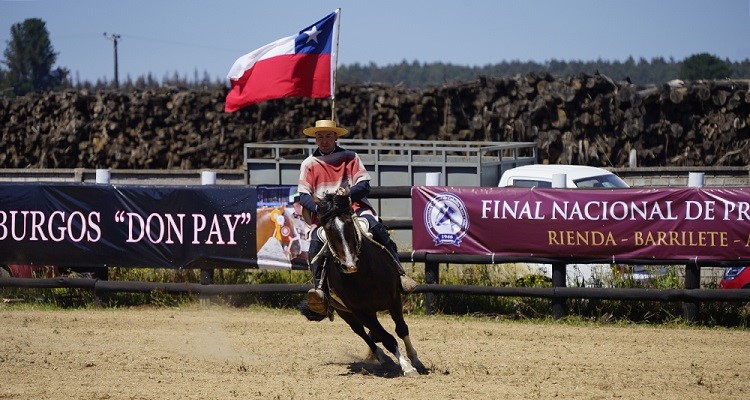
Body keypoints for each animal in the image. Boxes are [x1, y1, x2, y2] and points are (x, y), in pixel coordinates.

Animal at [302, 188, 428, 376]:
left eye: (349, 224)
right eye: (328, 229)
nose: (349, 265)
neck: (364, 276)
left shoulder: (394, 299)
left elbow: (401, 329)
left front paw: (415, 360)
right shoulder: (360, 311)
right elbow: (387, 338)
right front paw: (406, 367)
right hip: (346, 313)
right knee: (362, 333)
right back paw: (382, 357)